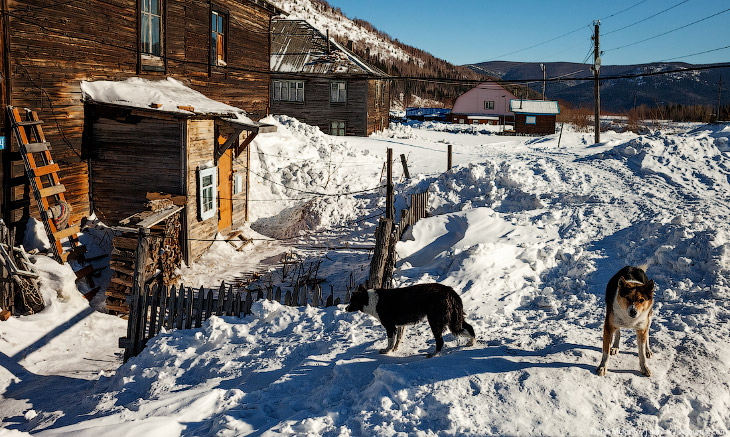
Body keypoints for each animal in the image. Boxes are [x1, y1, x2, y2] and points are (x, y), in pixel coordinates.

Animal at [346, 282, 478, 358]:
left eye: (352, 301)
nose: (345, 308)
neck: (370, 300)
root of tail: (449, 290)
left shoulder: (389, 326)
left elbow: (390, 341)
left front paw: (387, 351)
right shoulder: (400, 326)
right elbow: (398, 339)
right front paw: (395, 349)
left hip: (435, 321)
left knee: (440, 341)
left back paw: (433, 354)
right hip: (454, 320)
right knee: (469, 327)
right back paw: (471, 343)